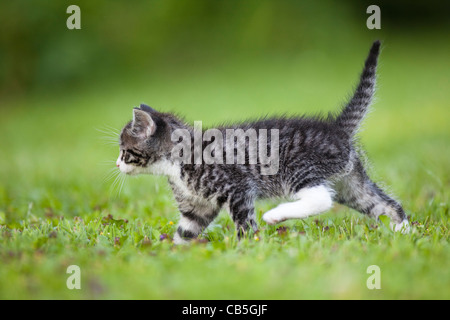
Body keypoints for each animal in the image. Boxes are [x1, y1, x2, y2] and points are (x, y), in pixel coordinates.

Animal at [115, 40, 408, 245]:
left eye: (124, 151)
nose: (117, 164)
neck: (177, 162)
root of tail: (335, 128)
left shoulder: (237, 187)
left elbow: (245, 223)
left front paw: (248, 247)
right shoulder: (196, 206)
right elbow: (186, 231)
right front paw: (171, 254)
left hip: (298, 169)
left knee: (322, 198)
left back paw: (275, 215)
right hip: (349, 182)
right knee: (384, 204)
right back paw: (404, 235)